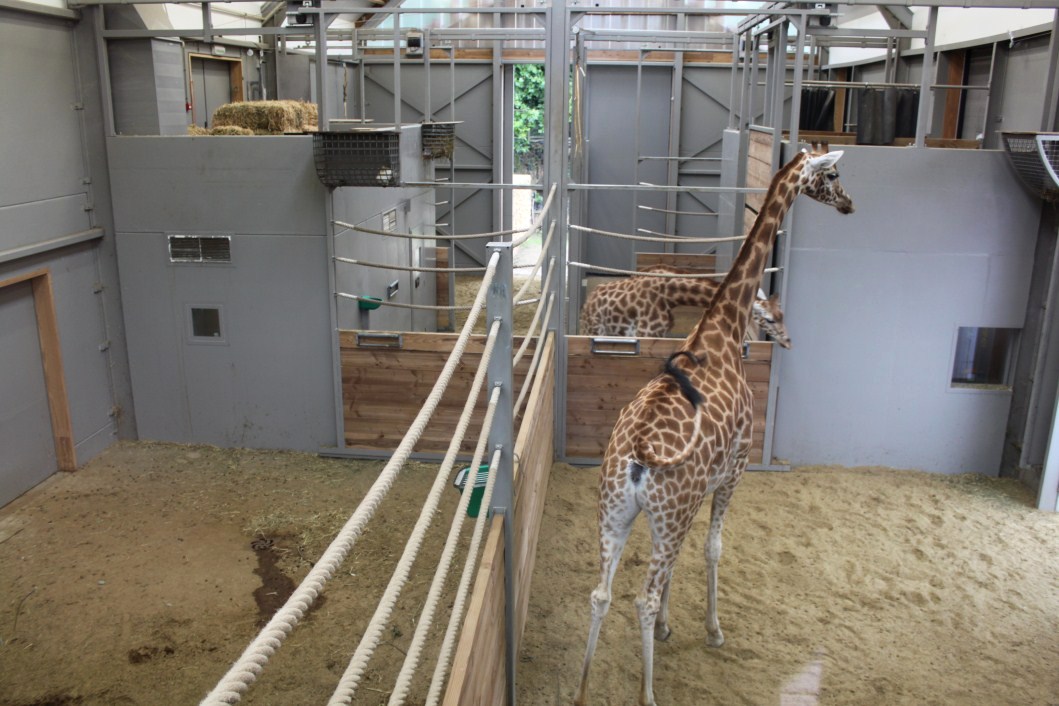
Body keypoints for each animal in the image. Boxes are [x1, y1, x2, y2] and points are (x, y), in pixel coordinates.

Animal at [579, 264, 793, 348]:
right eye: (769, 320)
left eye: (782, 315)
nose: (788, 342)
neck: (668, 295)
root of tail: (588, 302)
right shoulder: (645, 333)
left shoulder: (660, 334)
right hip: (593, 329)